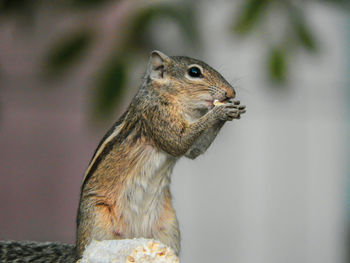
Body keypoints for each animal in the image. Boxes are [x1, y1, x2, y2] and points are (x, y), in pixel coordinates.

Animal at [0, 50, 246, 262]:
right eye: (194, 72)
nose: (231, 92)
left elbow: (194, 151)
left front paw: (230, 108)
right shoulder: (155, 115)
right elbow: (177, 142)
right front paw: (220, 111)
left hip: (168, 230)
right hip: (96, 223)